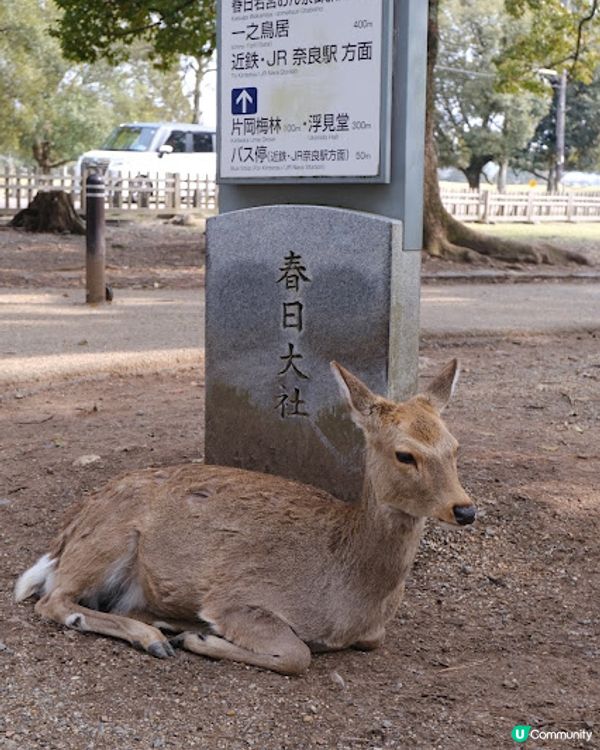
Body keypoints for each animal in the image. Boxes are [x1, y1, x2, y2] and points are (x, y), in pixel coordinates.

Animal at [15, 359, 475, 675]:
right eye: (405, 454)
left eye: (455, 446)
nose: (465, 509)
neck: (351, 598)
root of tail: (64, 536)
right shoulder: (237, 597)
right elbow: (297, 654)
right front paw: (199, 637)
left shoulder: (371, 632)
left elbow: (370, 641)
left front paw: (193, 633)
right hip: (106, 540)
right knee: (52, 600)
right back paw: (156, 638)